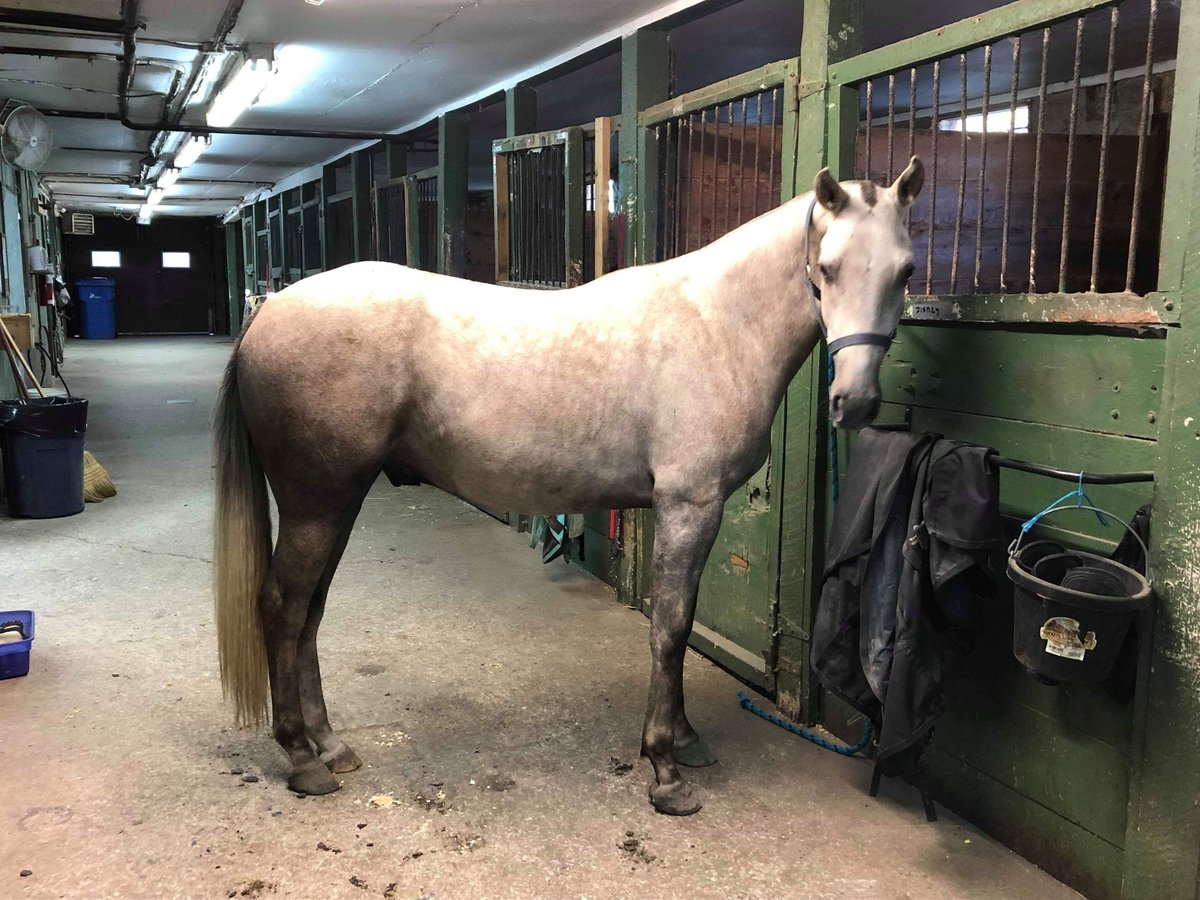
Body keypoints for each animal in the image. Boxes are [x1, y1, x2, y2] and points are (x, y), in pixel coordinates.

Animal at [213, 160, 926, 816]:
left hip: (337, 502)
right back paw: (302, 759)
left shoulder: (695, 511)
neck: (716, 324)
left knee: (308, 613)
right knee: (281, 608)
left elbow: (680, 621)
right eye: (827, 268)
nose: (857, 402)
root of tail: (269, 310)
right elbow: (670, 629)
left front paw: (684, 740)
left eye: (906, 271)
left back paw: (330, 745)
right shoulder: (689, 507)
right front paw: (666, 769)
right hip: (316, 504)